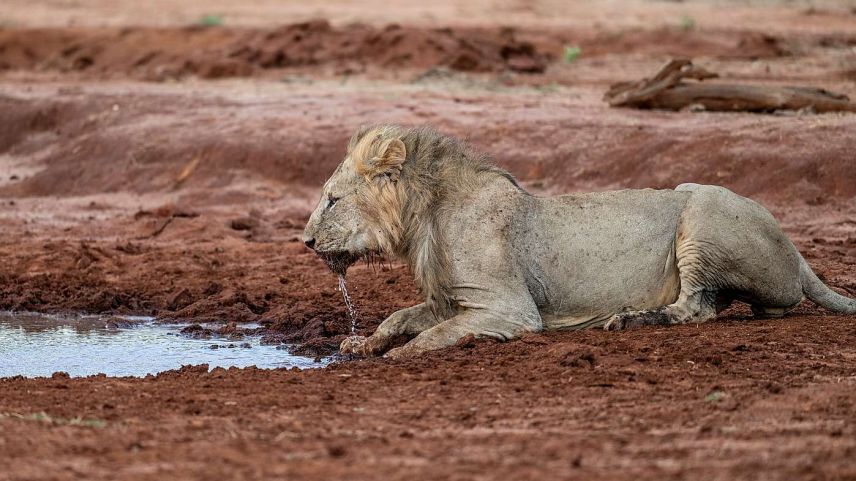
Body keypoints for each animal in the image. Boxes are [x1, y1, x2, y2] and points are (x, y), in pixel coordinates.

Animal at [302, 124, 856, 356]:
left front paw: (395, 357)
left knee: (694, 309)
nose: (305, 242)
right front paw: (360, 343)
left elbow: (434, 335)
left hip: (702, 215)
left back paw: (631, 319)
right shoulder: (450, 300)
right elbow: (399, 317)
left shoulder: (509, 308)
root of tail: (797, 253)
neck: (423, 218)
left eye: (331, 200)